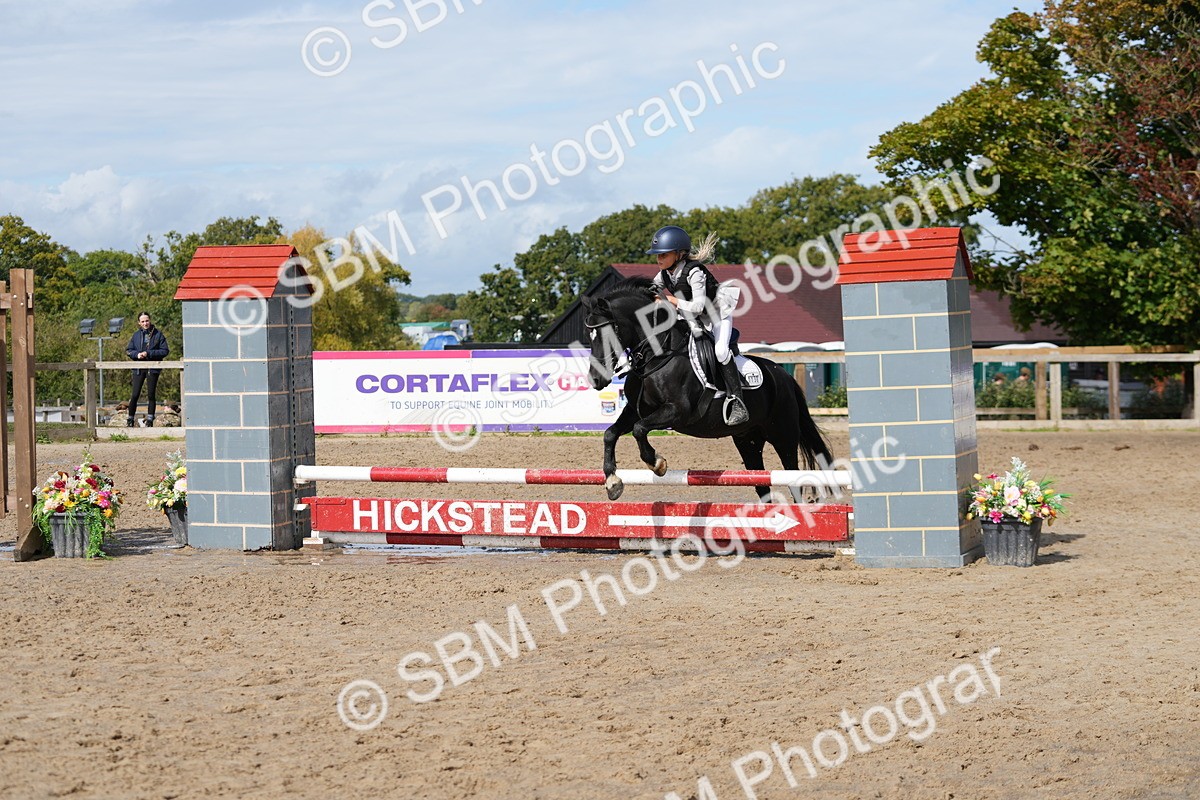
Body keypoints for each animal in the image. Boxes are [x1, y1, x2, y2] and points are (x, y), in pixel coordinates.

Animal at [580, 276, 834, 502]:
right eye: (589, 336)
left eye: (607, 333)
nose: (596, 379)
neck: (658, 355)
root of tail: (783, 375)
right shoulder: (635, 410)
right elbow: (611, 433)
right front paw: (612, 482)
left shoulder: (678, 411)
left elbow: (639, 429)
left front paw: (657, 463)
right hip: (748, 439)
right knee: (761, 483)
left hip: (783, 435)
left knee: (793, 479)